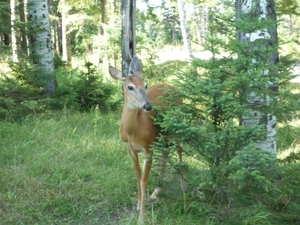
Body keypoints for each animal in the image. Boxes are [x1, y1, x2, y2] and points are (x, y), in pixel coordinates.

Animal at [109, 56, 184, 223]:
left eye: (145, 85)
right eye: (130, 87)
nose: (148, 106)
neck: (134, 132)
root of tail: (174, 87)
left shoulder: (148, 148)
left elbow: (144, 180)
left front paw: (142, 218)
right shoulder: (130, 148)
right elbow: (137, 174)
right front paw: (138, 205)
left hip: (176, 127)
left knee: (179, 149)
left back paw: (184, 185)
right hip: (163, 135)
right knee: (166, 154)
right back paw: (156, 191)